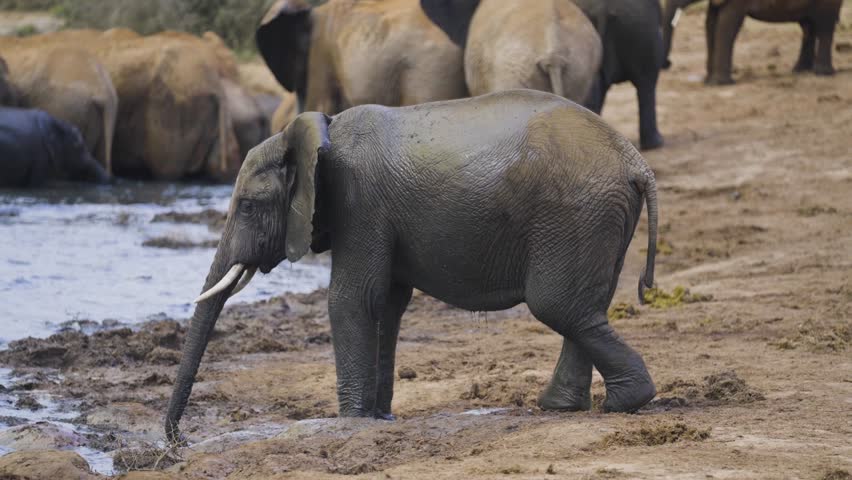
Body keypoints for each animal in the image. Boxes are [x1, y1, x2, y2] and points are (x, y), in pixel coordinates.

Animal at [164, 89, 660, 443]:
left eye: (247, 207)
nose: (175, 440)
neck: (316, 131)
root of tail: (635, 161)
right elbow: (386, 303)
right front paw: (378, 417)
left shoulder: (360, 203)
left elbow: (352, 299)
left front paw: (352, 422)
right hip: (600, 216)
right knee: (585, 307)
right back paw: (564, 406)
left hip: (575, 213)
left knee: (557, 305)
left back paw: (625, 402)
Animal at [662, 0, 842, 84]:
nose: (668, 63)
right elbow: (711, 22)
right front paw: (708, 82)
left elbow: (726, 22)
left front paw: (719, 84)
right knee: (808, 26)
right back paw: (800, 71)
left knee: (825, 25)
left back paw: (822, 73)